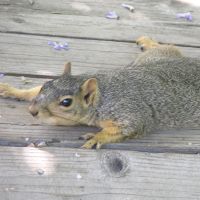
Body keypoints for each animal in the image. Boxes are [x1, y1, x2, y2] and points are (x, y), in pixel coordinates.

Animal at [0, 36, 200, 149]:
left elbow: (131, 127)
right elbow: (31, 92)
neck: (102, 96)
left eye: (66, 102)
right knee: (167, 47)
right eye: (45, 85)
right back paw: (146, 41)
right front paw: (12, 90)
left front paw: (96, 137)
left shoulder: (130, 112)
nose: (32, 111)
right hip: (156, 56)